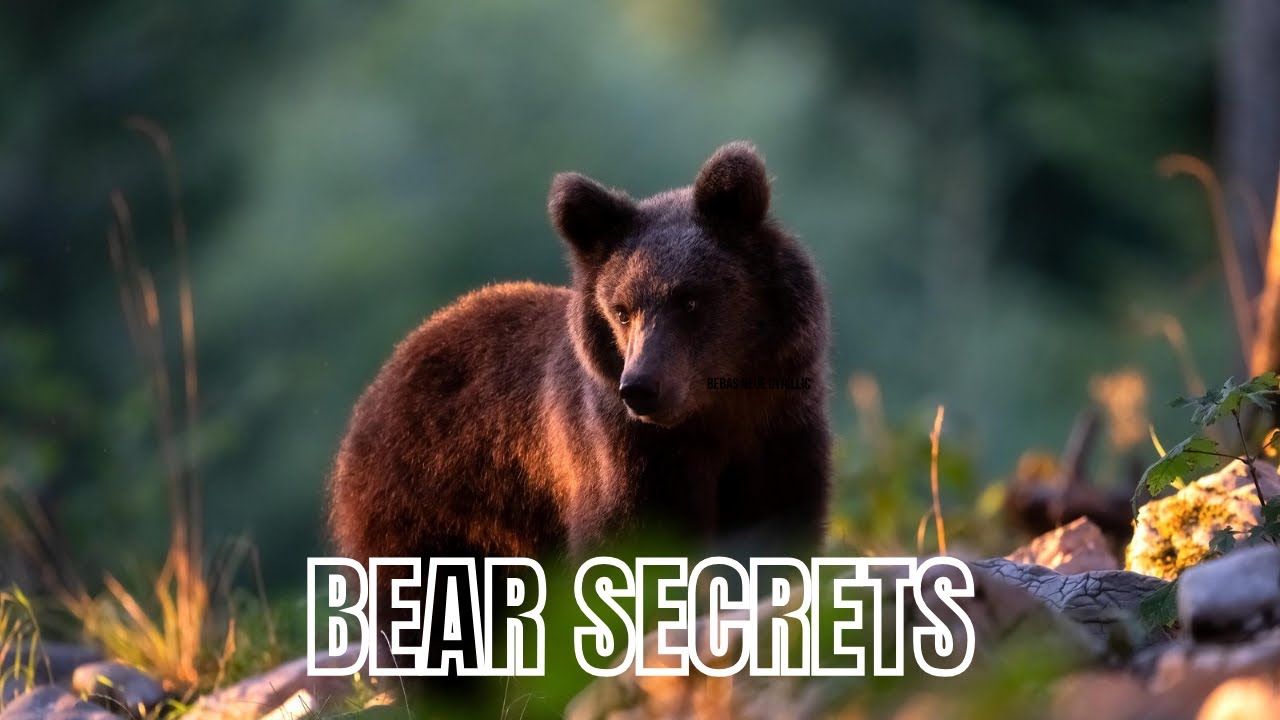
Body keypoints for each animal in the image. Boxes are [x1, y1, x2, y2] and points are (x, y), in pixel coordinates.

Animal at [326, 142, 830, 687]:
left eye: (691, 300)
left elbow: (776, 532)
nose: (641, 388)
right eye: (622, 309)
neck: (714, 417)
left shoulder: (777, 435)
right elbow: (627, 554)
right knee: (431, 623)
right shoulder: (626, 457)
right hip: (431, 505)